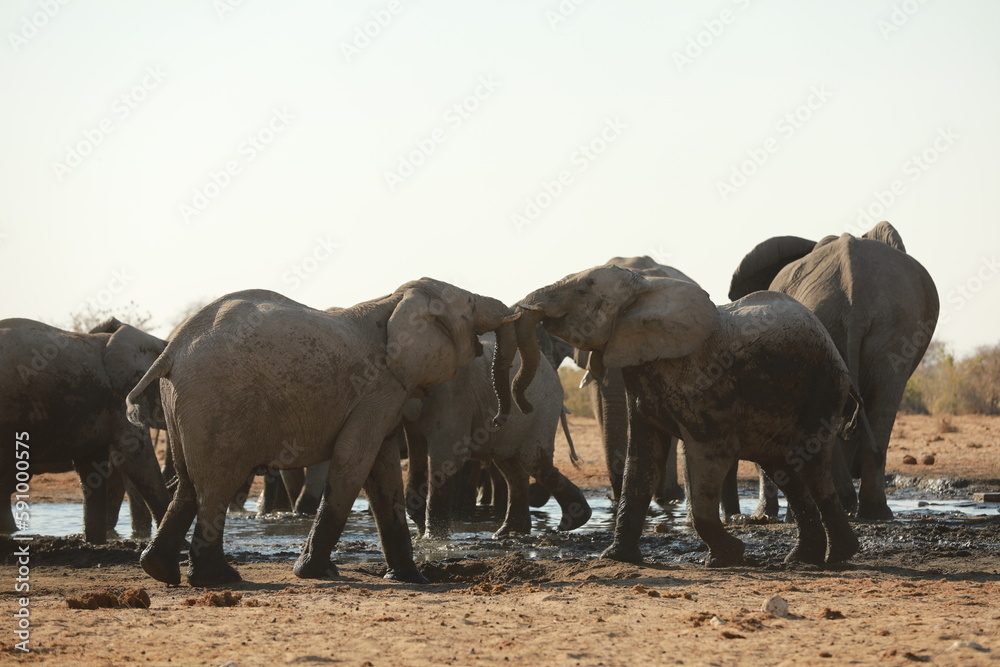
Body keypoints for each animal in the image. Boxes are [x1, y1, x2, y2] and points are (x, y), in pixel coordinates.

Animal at [126, 280, 519, 587]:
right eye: (470, 304)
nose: (500, 419)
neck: (394, 300)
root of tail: (170, 350)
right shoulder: (380, 386)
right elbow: (353, 459)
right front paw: (315, 573)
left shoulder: (386, 391)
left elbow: (382, 470)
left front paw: (412, 578)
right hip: (216, 401)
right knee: (215, 487)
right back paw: (217, 579)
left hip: (181, 402)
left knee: (187, 484)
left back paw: (159, 570)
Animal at [402, 335, 591, 539]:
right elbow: (416, 454)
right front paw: (419, 532)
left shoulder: (451, 397)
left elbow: (445, 458)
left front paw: (431, 538)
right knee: (511, 465)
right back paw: (509, 531)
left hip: (541, 409)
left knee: (534, 462)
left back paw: (572, 520)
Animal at [493, 264, 872, 567]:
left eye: (583, 288)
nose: (513, 413)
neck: (645, 288)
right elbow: (641, 459)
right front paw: (616, 558)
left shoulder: (705, 381)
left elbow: (709, 455)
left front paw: (724, 559)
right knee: (784, 469)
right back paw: (802, 560)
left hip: (820, 388)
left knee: (810, 466)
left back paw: (836, 557)